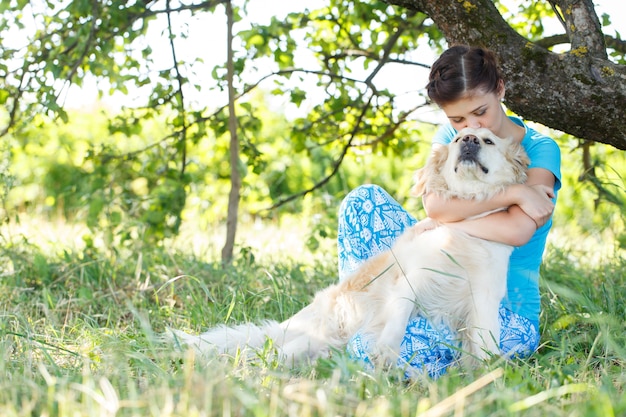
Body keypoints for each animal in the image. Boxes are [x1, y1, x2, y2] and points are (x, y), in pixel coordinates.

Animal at [171, 127, 528, 368]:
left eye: (488, 140)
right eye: (457, 140)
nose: (468, 141)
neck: (467, 227)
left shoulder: (483, 298)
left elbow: (485, 339)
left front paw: (488, 372)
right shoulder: (411, 279)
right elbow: (398, 318)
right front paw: (386, 352)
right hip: (317, 331)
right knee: (275, 352)